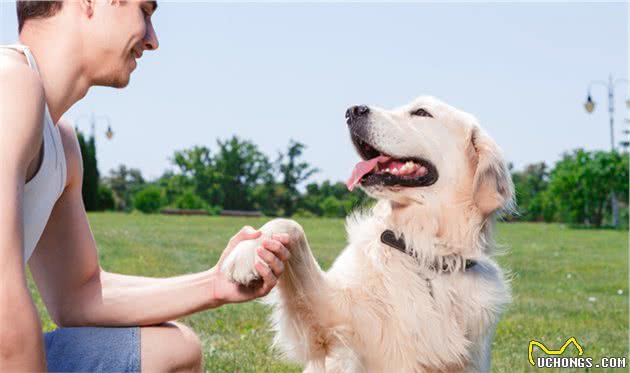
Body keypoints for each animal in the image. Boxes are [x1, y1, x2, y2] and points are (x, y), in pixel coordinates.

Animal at [222, 96, 512, 372]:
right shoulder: (330, 323)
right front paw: (246, 253)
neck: (420, 250)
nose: (352, 111)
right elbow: (290, 224)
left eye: (421, 112)